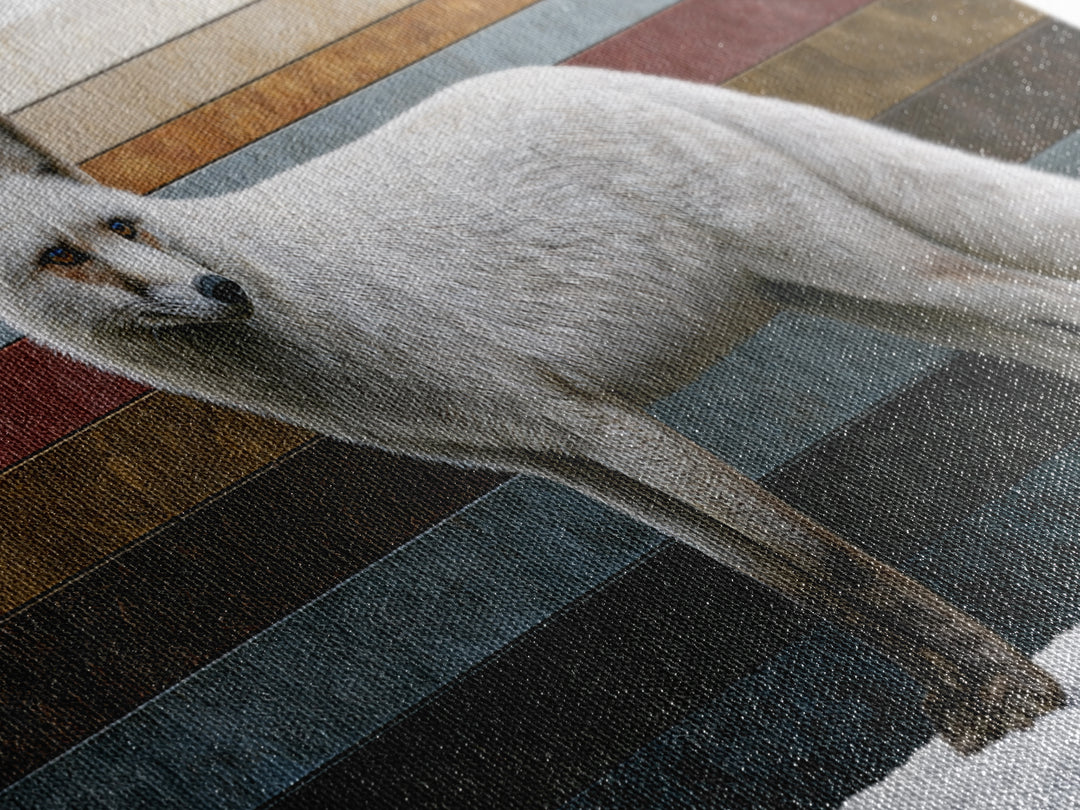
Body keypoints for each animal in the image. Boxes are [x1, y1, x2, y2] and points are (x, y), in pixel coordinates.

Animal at [0, 65, 1073, 754]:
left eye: (123, 224)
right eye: (61, 256)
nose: (219, 289)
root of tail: (549, 72)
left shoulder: (589, 415)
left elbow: (822, 555)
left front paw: (1013, 695)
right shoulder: (554, 456)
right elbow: (799, 574)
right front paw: (983, 705)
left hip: (860, 267)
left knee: (1047, 305)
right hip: (857, 294)